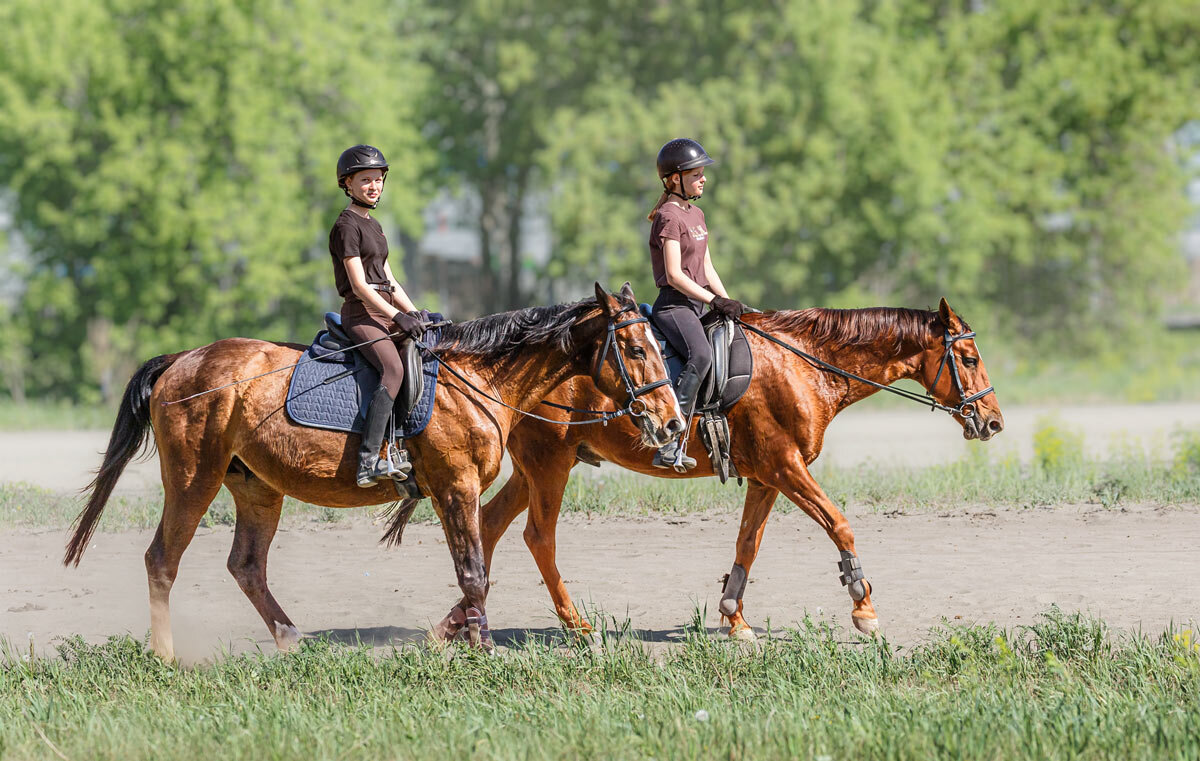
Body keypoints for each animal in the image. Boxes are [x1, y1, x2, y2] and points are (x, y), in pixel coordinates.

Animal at [68, 282, 686, 652]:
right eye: (636, 350)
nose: (673, 422)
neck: (478, 382)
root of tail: (182, 360)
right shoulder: (456, 489)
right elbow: (474, 571)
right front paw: (481, 647)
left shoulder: (461, 492)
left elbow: (478, 566)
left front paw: (464, 639)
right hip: (193, 480)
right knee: (161, 561)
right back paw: (168, 657)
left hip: (258, 488)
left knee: (246, 566)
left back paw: (292, 640)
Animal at [412, 298, 1003, 638]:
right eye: (969, 359)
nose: (994, 421)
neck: (801, 364)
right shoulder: (786, 468)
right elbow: (839, 523)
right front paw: (863, 606)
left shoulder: (767, 475)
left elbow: (748, 543)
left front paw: (733, 616)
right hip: (550, 464)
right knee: (537, 536)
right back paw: (572, 626)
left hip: (533, 469)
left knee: (489, 525)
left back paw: (457, 621)